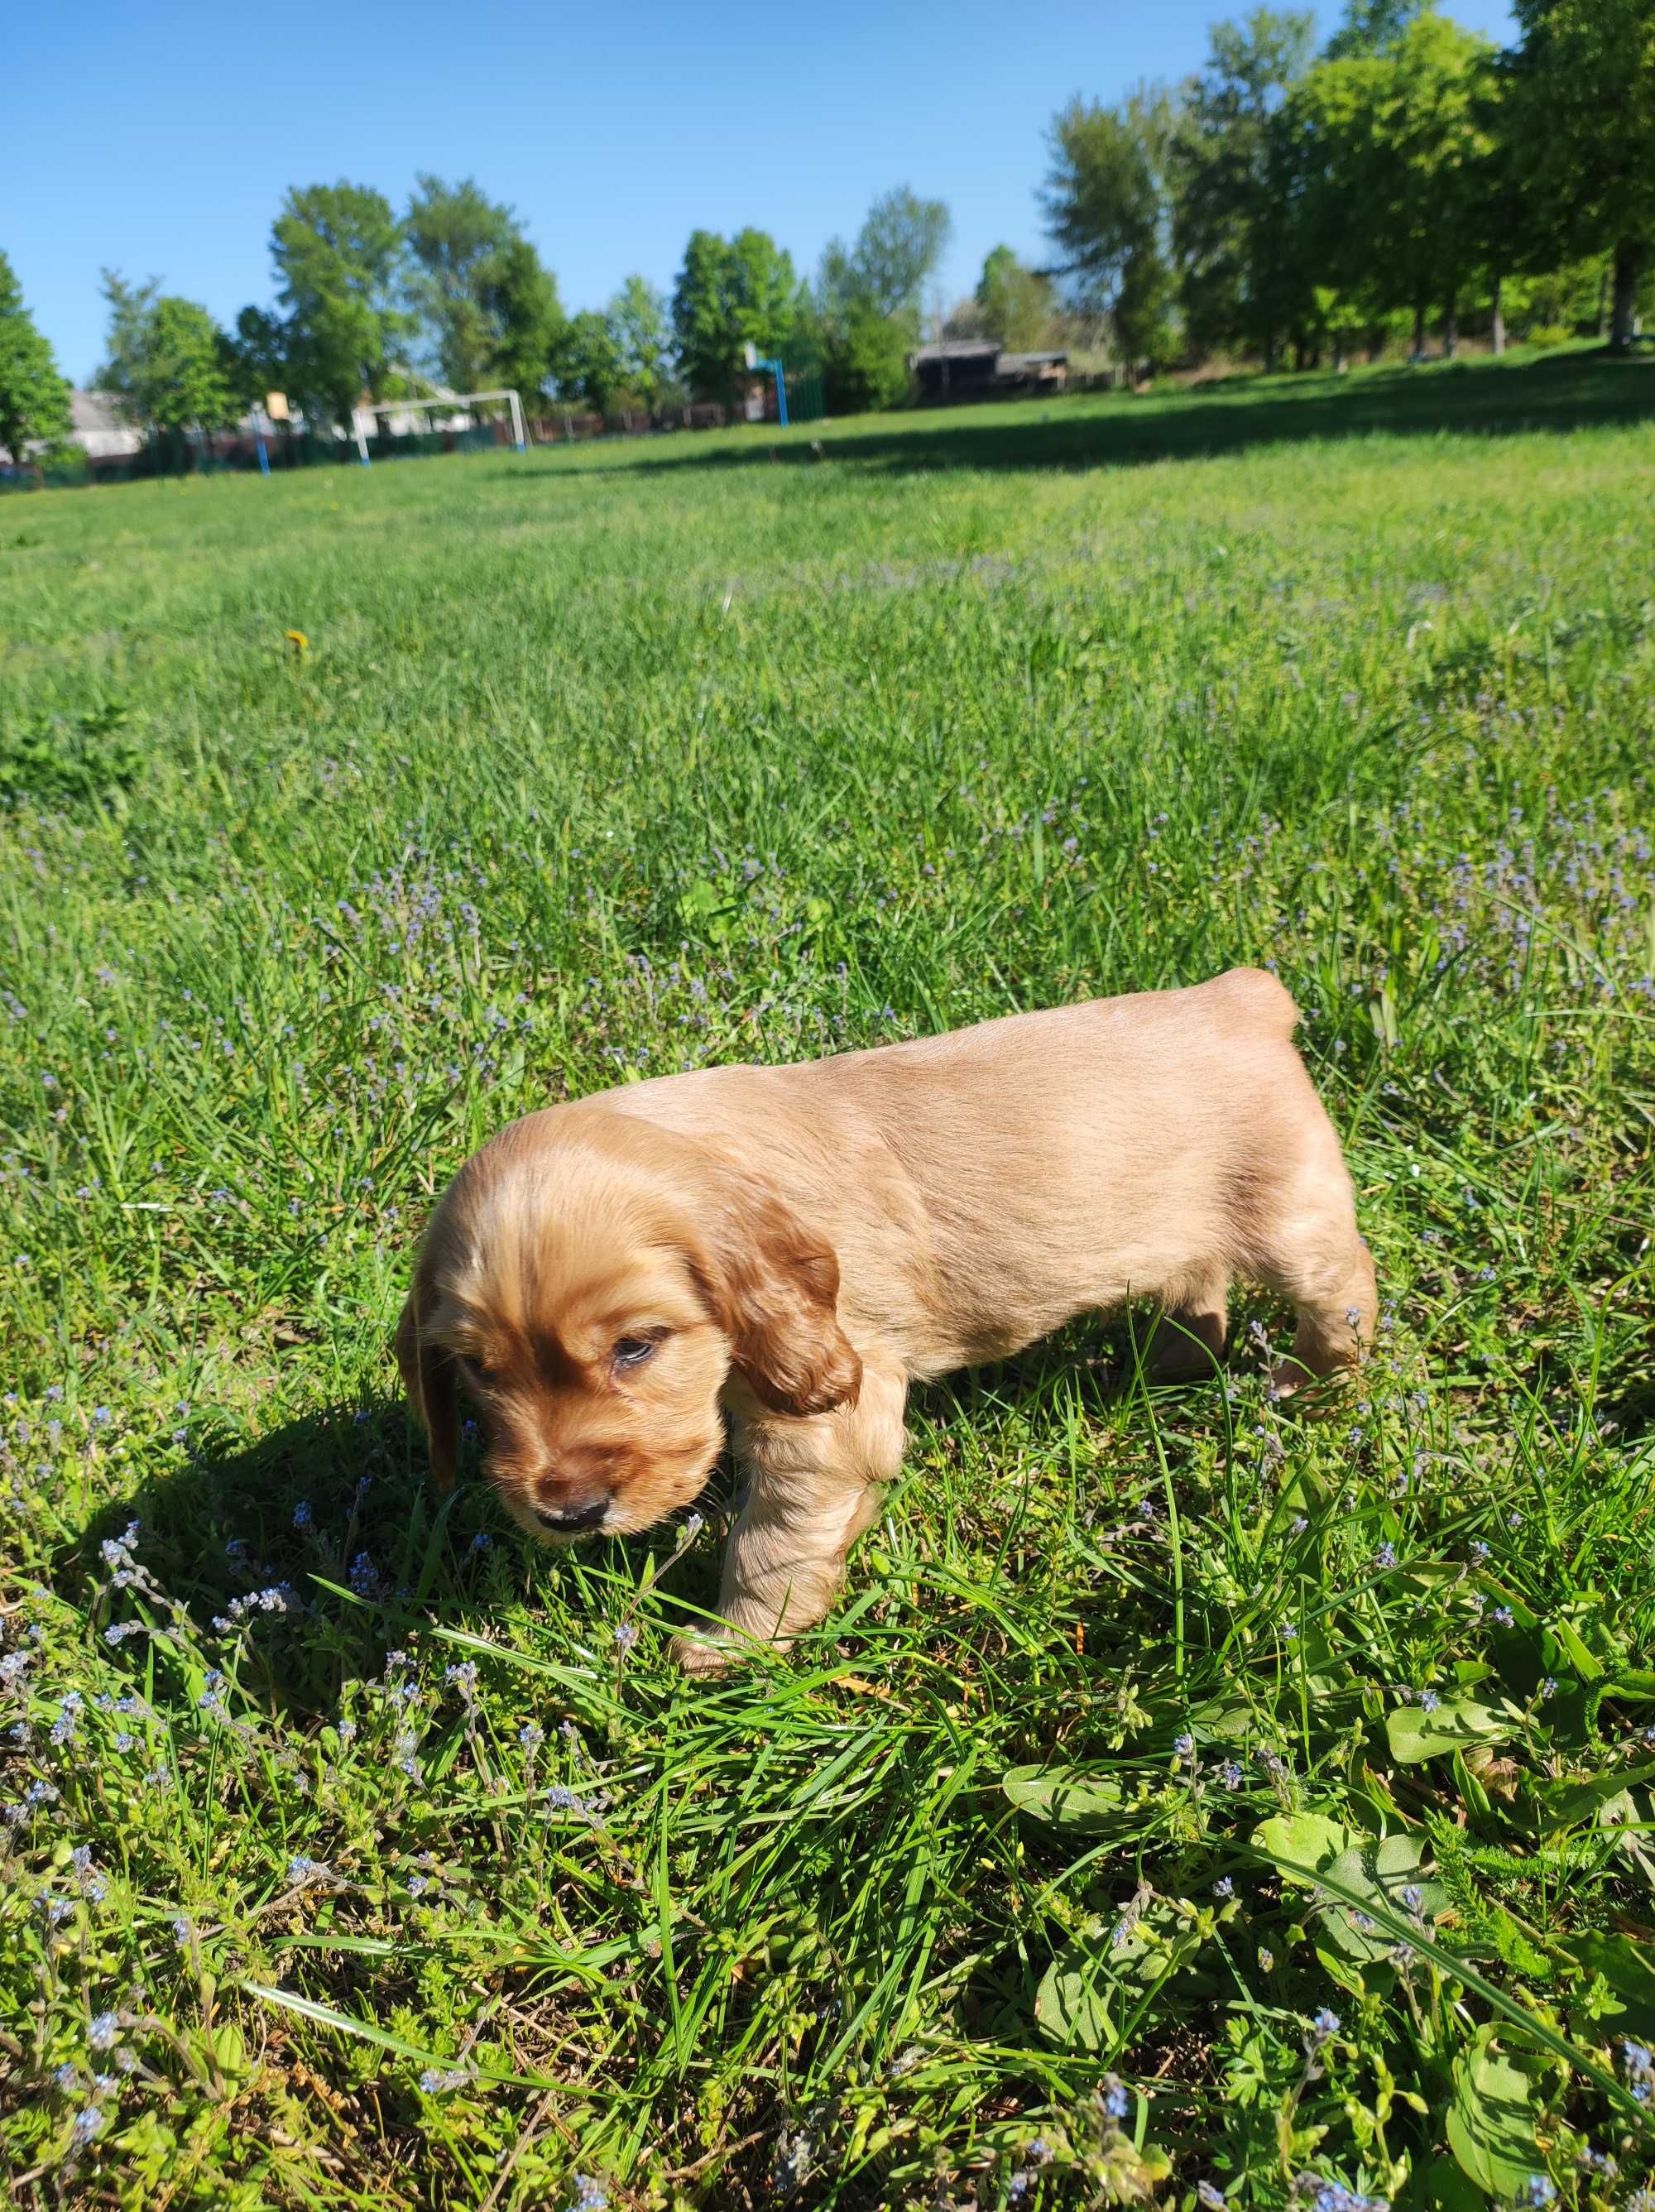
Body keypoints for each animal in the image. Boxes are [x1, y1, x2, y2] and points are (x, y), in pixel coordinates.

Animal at [398, 968, 1371, 1663]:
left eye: (636, 1348)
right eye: (479, 1370)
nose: (565, 1513)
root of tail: (1240, 994)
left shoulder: (830, 1404)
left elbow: (772, 1541)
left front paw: (732, 1645)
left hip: (1291, 1215)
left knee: (1344, 1294)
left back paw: (1307, 1390)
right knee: (1198, 1288)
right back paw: (1164, 1366)